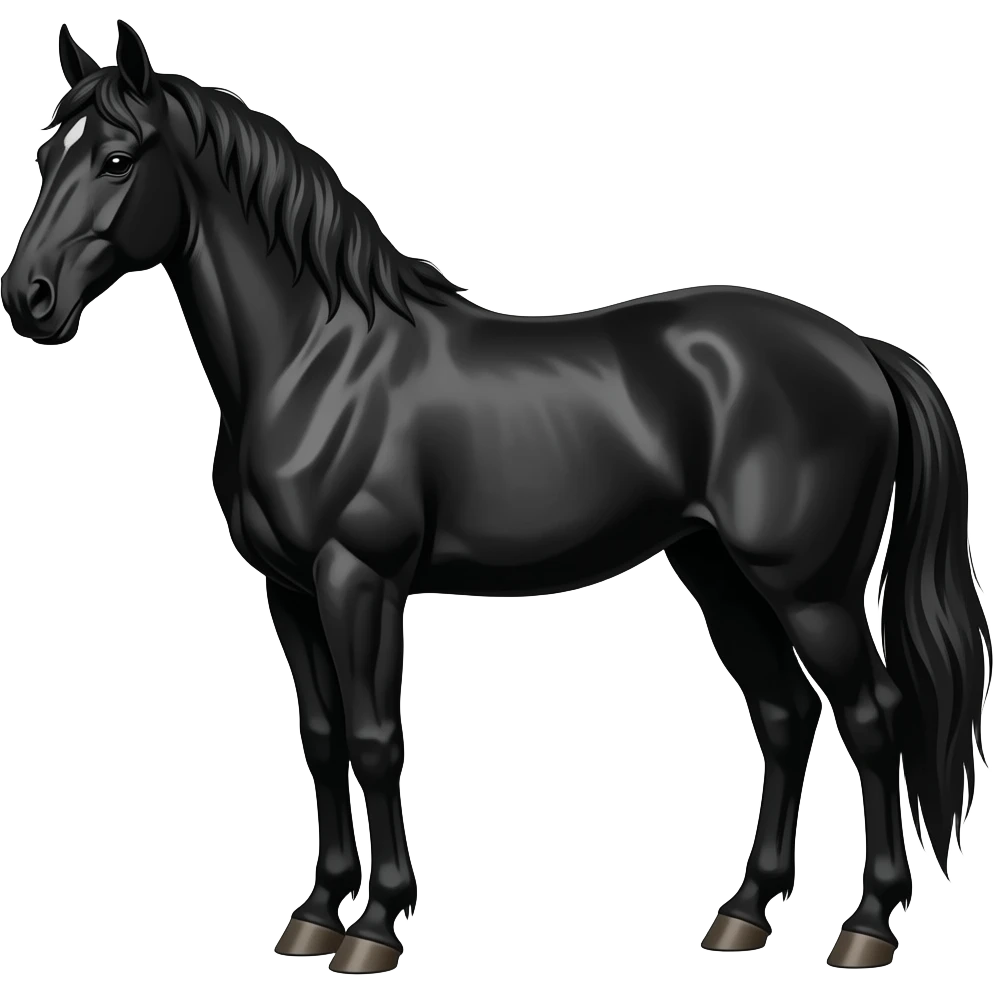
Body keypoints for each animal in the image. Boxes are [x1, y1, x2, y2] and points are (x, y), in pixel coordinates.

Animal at [2, 20, 990, 975]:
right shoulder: (289, 590)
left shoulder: (360, 580)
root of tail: (861, 351)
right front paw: (315, 914)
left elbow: (375, 739)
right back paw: (743, 913)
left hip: (808, 588)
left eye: (118, 159)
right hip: (719, 572)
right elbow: (321, 739)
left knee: (872, 716)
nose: (29, 299)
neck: (317, 359)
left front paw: (375, 927)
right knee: (785, 716)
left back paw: (866, 926)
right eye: (47, 154)